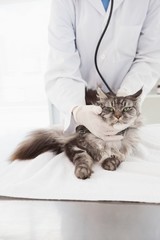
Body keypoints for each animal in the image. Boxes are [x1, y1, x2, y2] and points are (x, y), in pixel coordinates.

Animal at [10, 87, 142, 179]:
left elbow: (117, 156)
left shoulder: (123, 151)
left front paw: (110, 162)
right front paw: (82, 172)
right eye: (110, 109)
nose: (118, 116)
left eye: (126, 109)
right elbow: (82, 159)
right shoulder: (74, 145)